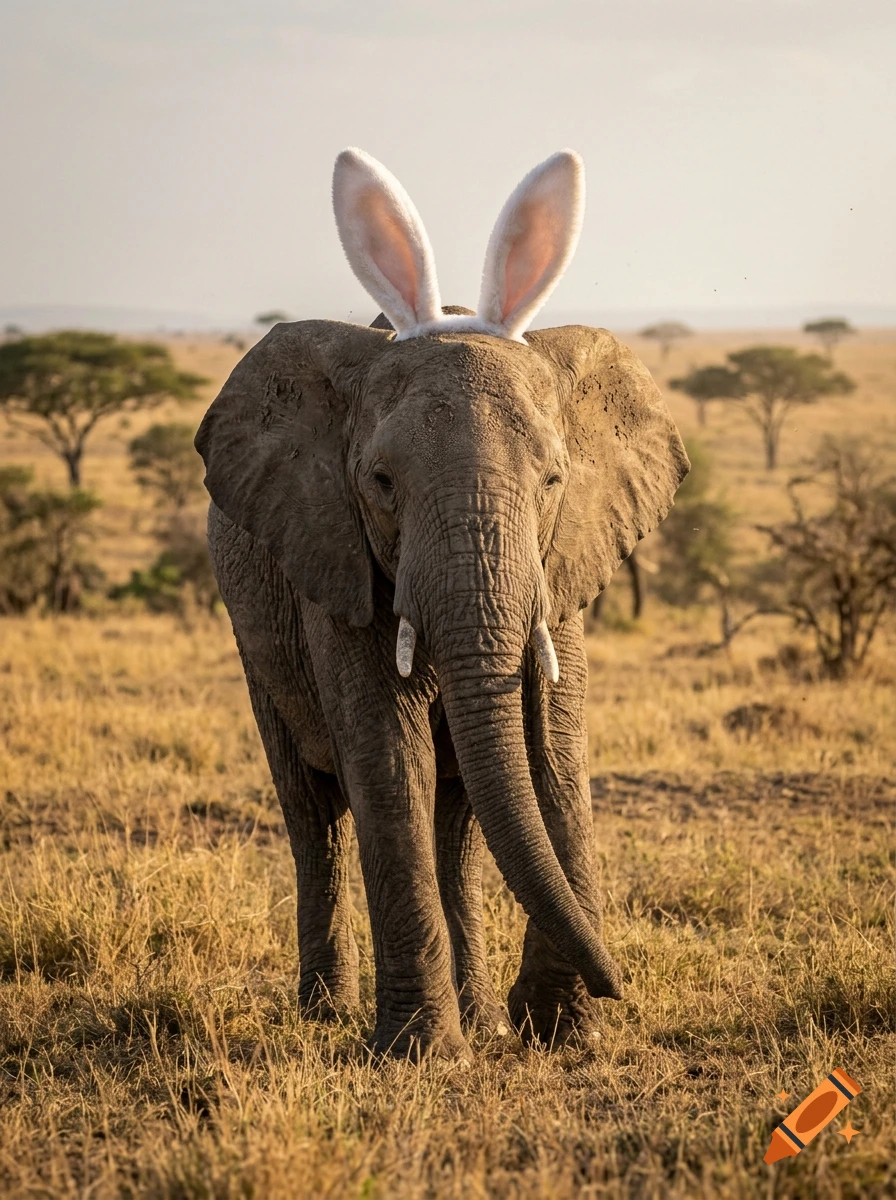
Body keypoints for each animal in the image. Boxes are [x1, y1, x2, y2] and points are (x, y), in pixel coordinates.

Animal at [195, 147, 688, 1058]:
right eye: (381, 483)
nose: (621, 985)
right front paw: (421, 1055)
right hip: (254, 637)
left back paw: (482, 1016)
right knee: (314, 814)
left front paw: (559, 1033)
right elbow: (392, 762)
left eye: (554, 480)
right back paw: (329, 1014)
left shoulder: (560, 567)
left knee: (457, 823)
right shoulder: (334, 557)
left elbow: (555, 756)